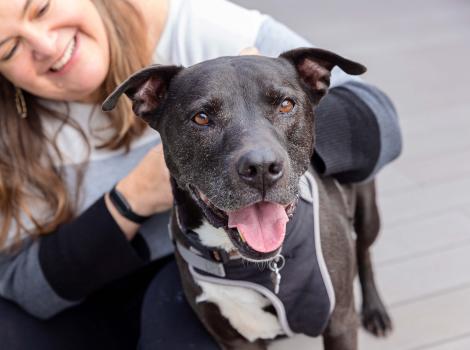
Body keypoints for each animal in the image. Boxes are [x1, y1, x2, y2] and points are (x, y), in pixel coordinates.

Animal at [103, 47, 392, 350]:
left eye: (286, 105)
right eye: (201, 117)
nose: (261, 168)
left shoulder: (340, 322)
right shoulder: (234, 339)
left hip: (368, 214)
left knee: (364, 252)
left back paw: (375, 310)